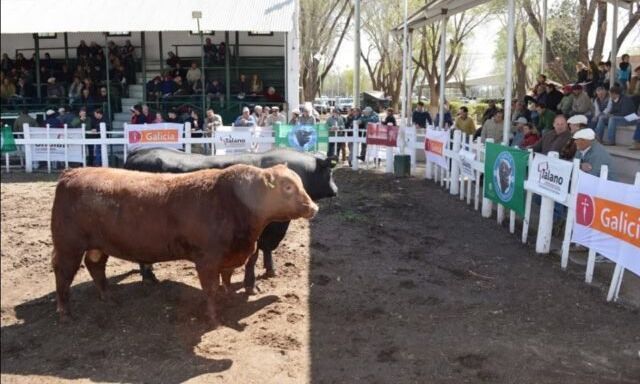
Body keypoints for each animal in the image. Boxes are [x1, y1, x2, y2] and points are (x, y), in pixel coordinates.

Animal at [122, 147, 338, 294]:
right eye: (330, 172)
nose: (336, 190)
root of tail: (140, 151)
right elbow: (253, 258)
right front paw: (251, 285)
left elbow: (266, 252)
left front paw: (270, 270)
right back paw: (149, 277)